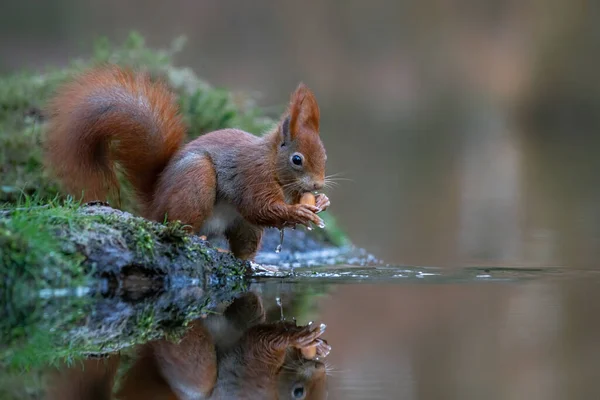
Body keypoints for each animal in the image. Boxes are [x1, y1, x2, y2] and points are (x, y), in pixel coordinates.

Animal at [44, 65, 330, 260]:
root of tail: (155, 203)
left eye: (325, 156)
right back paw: (198, 237)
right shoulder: (253, 175)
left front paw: (321, 202)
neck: (273, 164)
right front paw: (298, 212)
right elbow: (260, 207)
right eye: (297, 159)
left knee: (243, 253)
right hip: (195, 181)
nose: (318, 184)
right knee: (183, 224)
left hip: (243, 228)